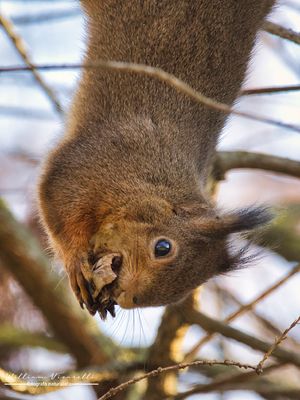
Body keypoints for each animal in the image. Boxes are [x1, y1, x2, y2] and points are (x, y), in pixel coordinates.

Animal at [38, 0, 276, 318]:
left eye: (182, 290)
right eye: (162, 248)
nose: (128, 297)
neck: (150, 180)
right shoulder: (85, 168)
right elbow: (56, 206)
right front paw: (75, 262)